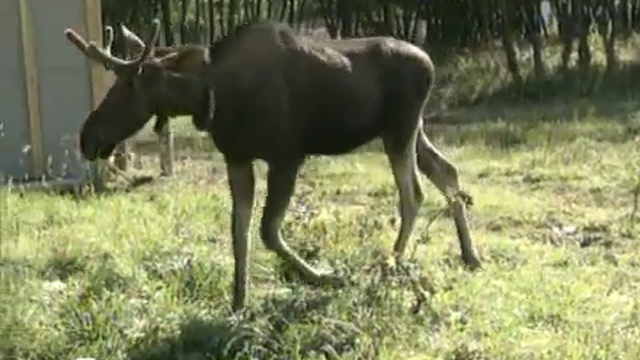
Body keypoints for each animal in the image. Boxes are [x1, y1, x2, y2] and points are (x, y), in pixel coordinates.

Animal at [65, 18, 482, 310]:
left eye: (128, 86)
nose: (88, 137)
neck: (209, 98)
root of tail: (430, 63)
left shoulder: (286, 155)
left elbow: (267, 231)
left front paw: (324, 277)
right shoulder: (237, 157)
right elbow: (239, 233)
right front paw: (238, 302)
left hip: (400, 129)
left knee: (413, 193)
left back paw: (390, 265)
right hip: (411, 129)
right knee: (447, 172)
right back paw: (470, 256)